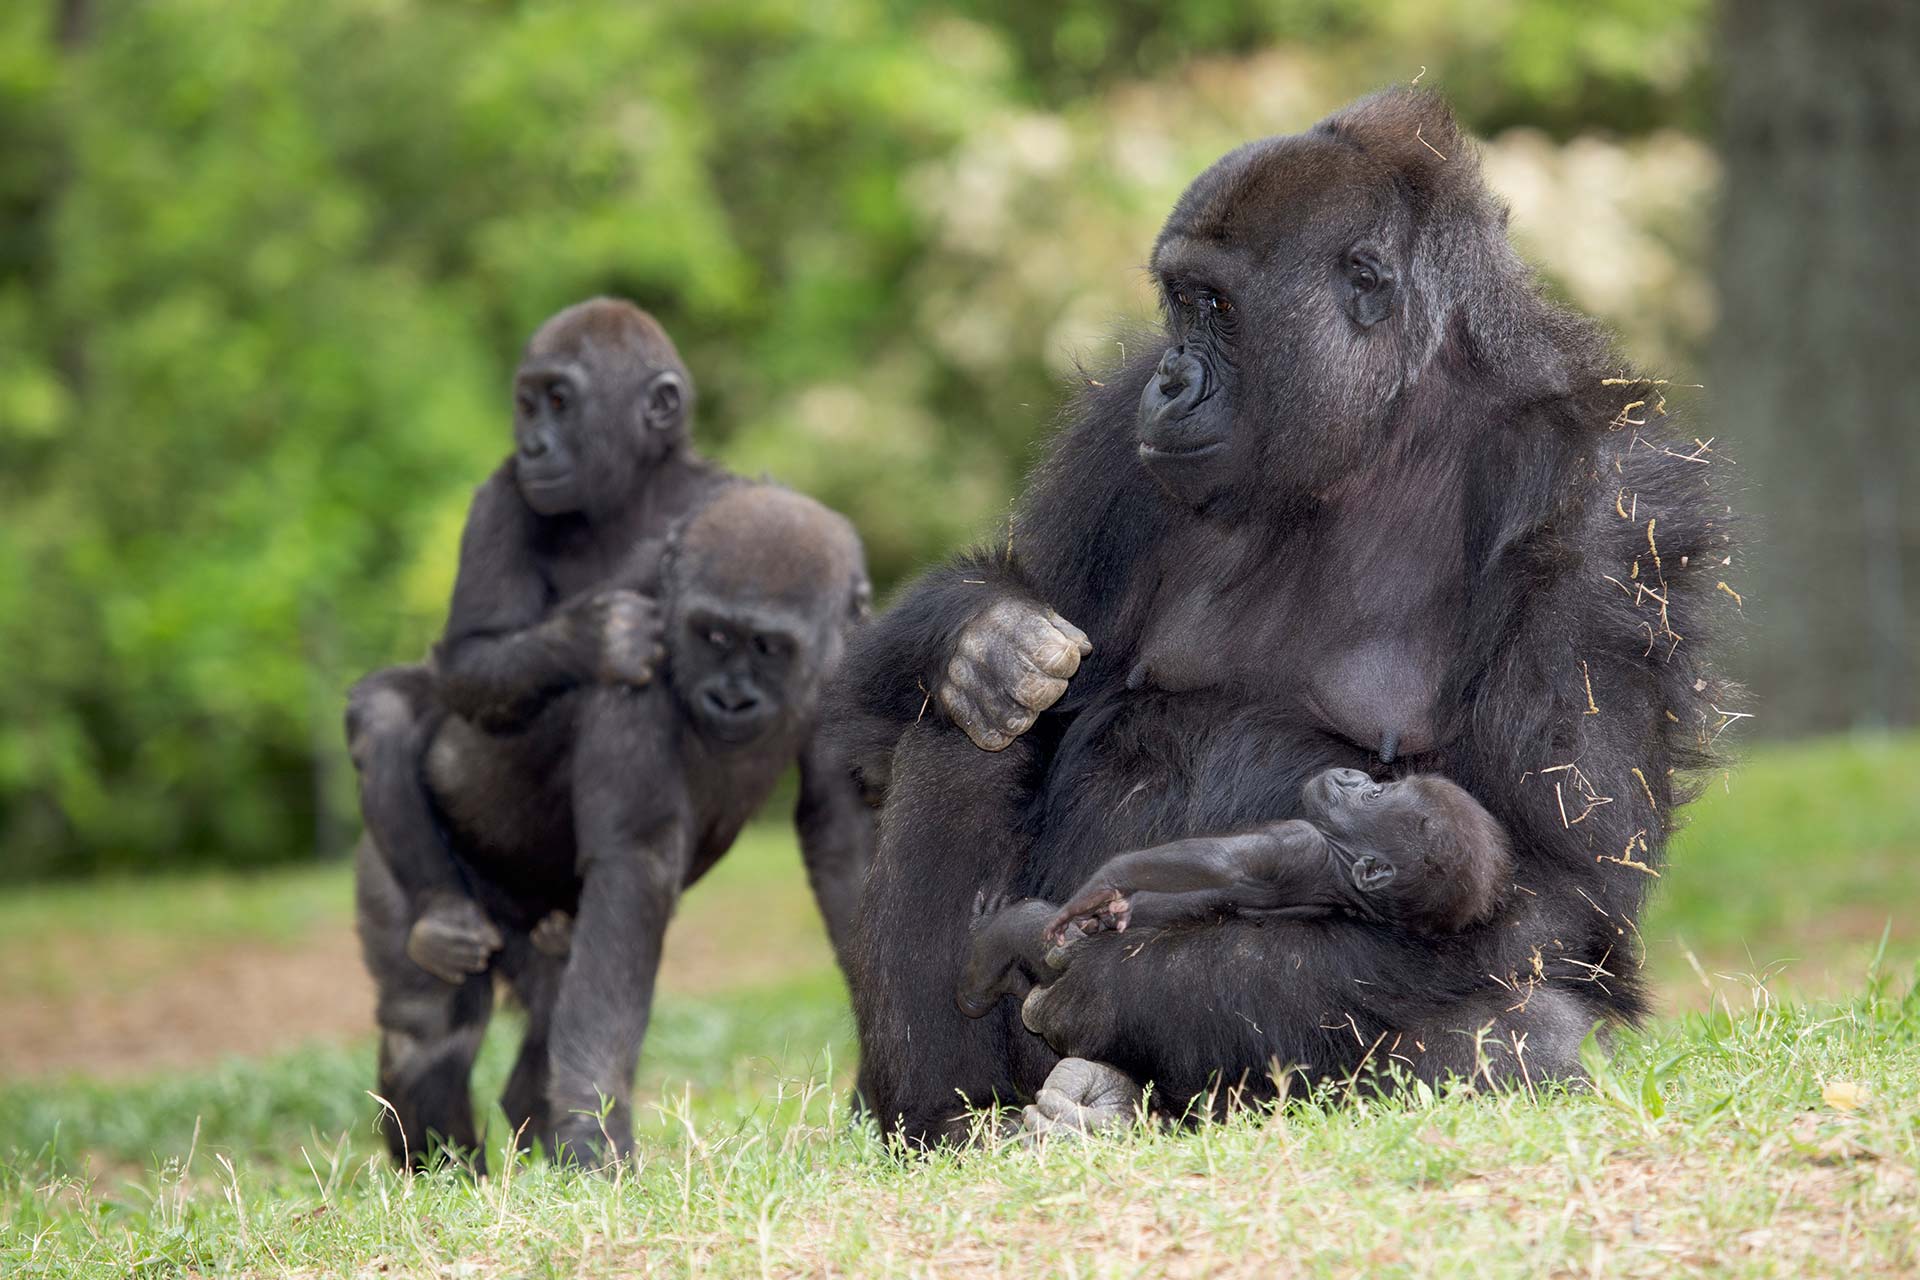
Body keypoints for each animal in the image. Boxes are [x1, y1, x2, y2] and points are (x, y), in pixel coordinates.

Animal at [357, 483, 875, 1174]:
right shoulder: (638, 664)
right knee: (430, 1024)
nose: (730, 699)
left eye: (768, 648)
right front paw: (593, 1131)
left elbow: (847, 841)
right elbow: (636, 860)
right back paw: (447, 1173)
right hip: (398, 858)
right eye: (713, 635)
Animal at [952, 771, 1505, 1020]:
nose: (1353, 774)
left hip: (1059, 960)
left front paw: (1097, 889)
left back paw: (978, 977)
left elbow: (1218, 863)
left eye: (1373, 795)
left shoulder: (1295, 841)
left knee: (1020, 932)